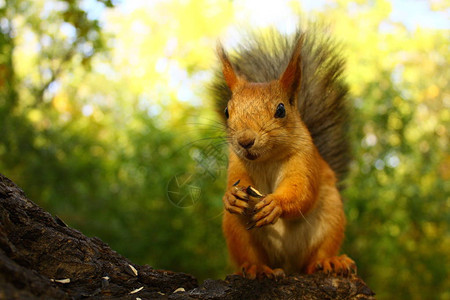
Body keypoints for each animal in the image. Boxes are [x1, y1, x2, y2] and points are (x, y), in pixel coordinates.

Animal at [212, 29, 358, 280]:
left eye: (281, 110)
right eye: (227, 111)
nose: (245, 141)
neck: (267, 159)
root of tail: (288, 266)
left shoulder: (305, 159)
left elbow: (302, 192)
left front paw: (275, 204)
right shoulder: (237, 162)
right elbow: (235, 182)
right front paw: (231, 196)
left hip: (330, 219)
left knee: (316, 257)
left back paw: (329, 261)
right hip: (237, 230)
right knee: (250, 255)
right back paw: (258, 268)